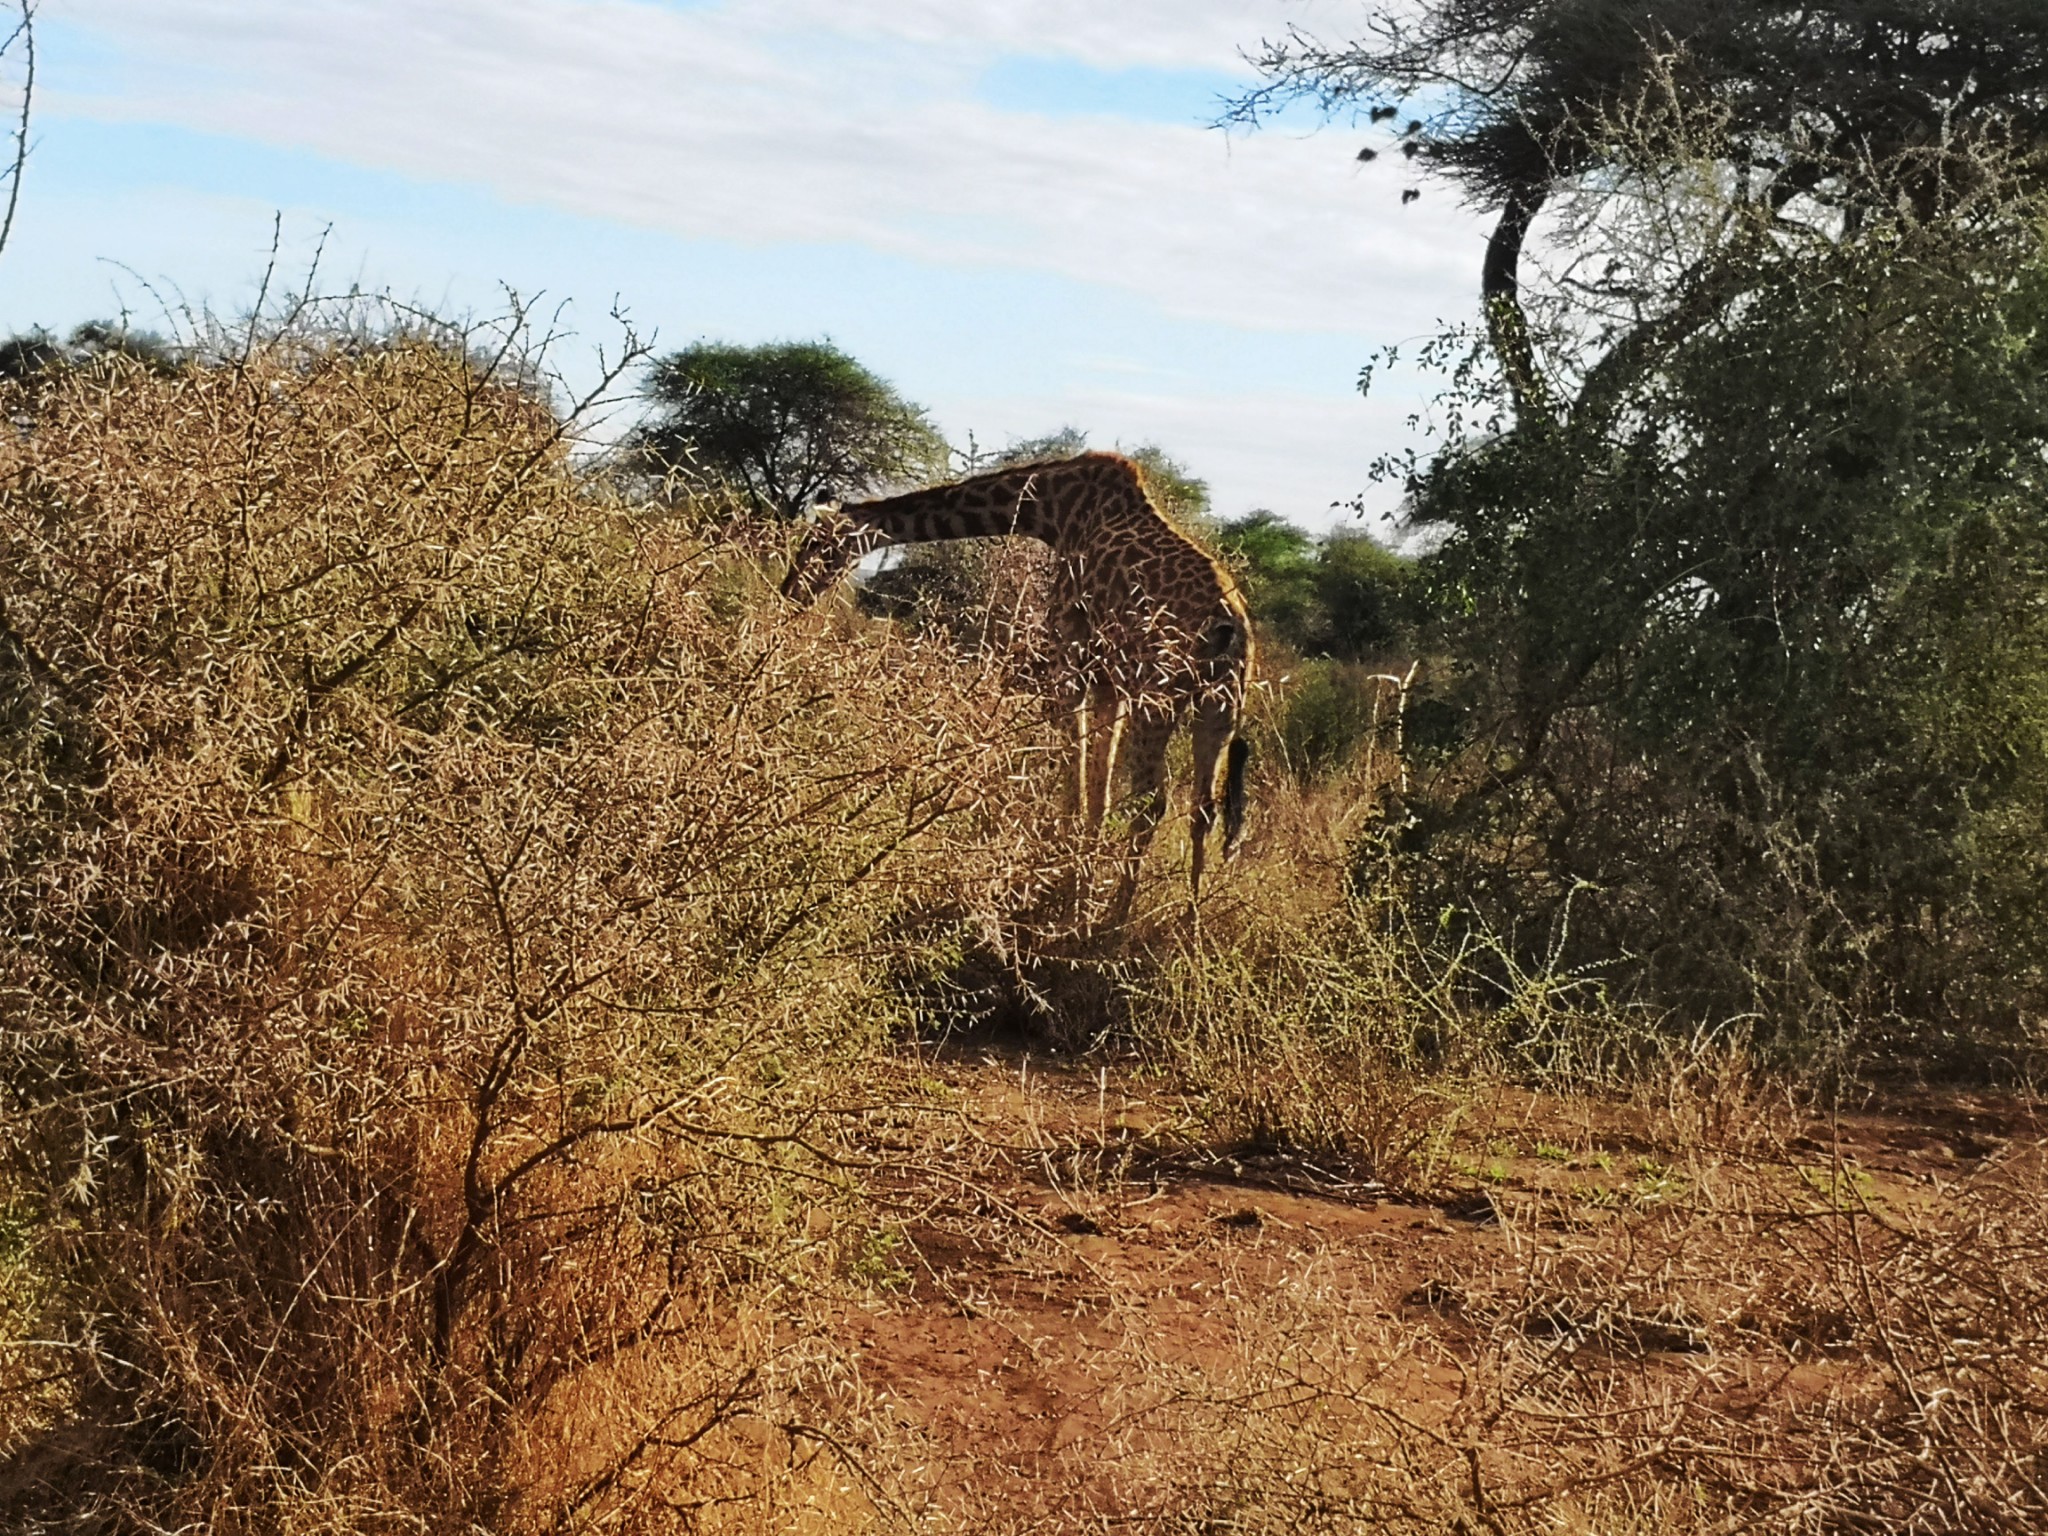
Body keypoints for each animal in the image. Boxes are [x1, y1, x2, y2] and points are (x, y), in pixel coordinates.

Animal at [782, 450, 1253, 921]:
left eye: (818, 544)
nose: (790, 591)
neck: (1049, 509)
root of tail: (1230, 633)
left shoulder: (1071, 652)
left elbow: (1076, 780)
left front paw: (1071, 897)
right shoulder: (1110, 679)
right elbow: (1097, 791)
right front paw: (1075, 883)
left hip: (1158, 698)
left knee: (1151, 801)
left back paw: (1114, 921)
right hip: (1218, 708)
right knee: (1203, 809)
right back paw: (1190, 920)